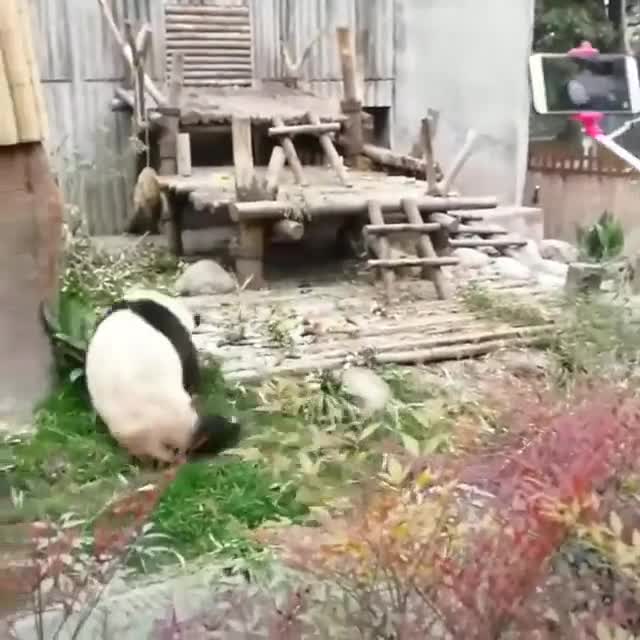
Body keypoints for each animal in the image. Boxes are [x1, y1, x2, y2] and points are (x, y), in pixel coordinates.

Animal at [85, 288, 241, 464]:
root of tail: (153, 442)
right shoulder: (174, 331)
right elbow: (190, 364)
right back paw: (231, 427)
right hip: (180, 419)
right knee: (208, 430)